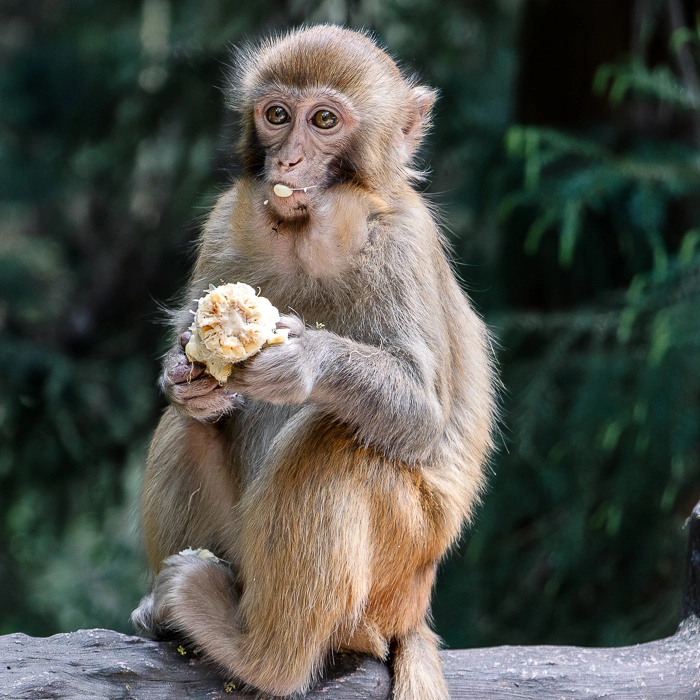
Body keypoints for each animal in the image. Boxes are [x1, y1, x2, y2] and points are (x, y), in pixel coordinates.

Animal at [131, 25, 497, 700]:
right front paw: (185, 375)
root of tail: (412, 611)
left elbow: (423, 417)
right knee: (186, 428)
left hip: (395, 573)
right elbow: (190, 385)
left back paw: (261, 657)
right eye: (277, 115)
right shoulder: (225, 223)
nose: (288, 162)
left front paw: (302, 360)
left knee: (331, 445)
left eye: (324, 120)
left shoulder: (401, 244)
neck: (304, 237)